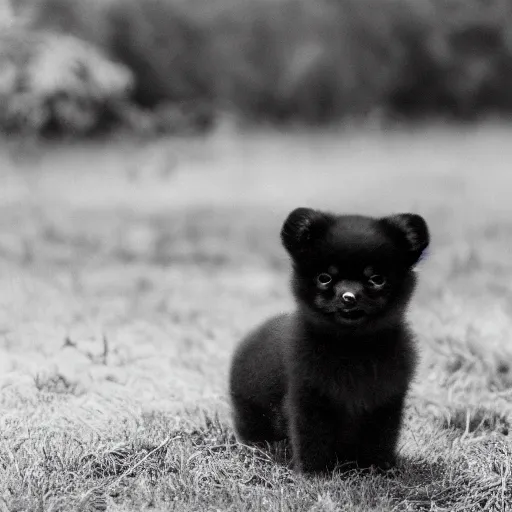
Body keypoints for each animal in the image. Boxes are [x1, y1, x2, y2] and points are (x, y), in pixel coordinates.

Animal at [228, 208, 428, 476]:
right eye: (325, 278)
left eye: (377, 279)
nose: (349, 297)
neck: (351, 348)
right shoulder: (309, 397)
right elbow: (313, 437)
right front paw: (314, 474)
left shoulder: (385, 400)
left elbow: (379, 439)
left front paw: (376, 470)